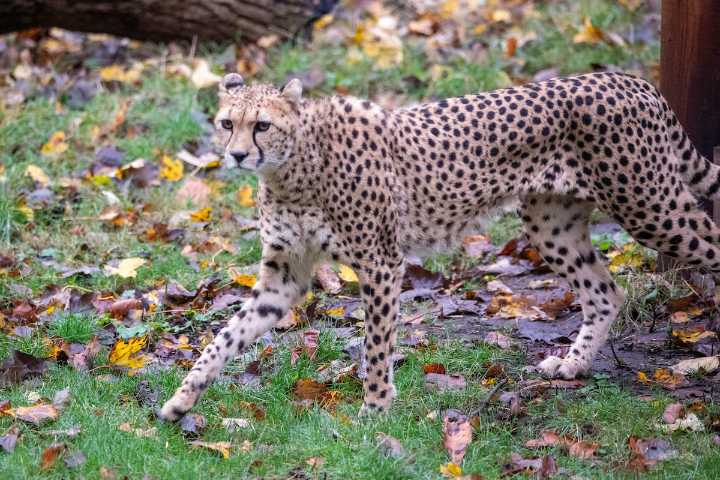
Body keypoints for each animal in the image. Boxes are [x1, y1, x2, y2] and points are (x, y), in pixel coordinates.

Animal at [159, 70, 720, 421]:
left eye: (262, 125)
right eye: (227, 122)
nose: (235, 155)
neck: (293, 169)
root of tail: (628, 79)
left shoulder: (381, 263)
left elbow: (376, 345)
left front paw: (375, 411)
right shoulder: (285, 276)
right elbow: (224, 337)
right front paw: (182, 400)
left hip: (651, 206)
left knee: (709, 243)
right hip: (551, 223)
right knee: (605, 292)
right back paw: (573, 365)